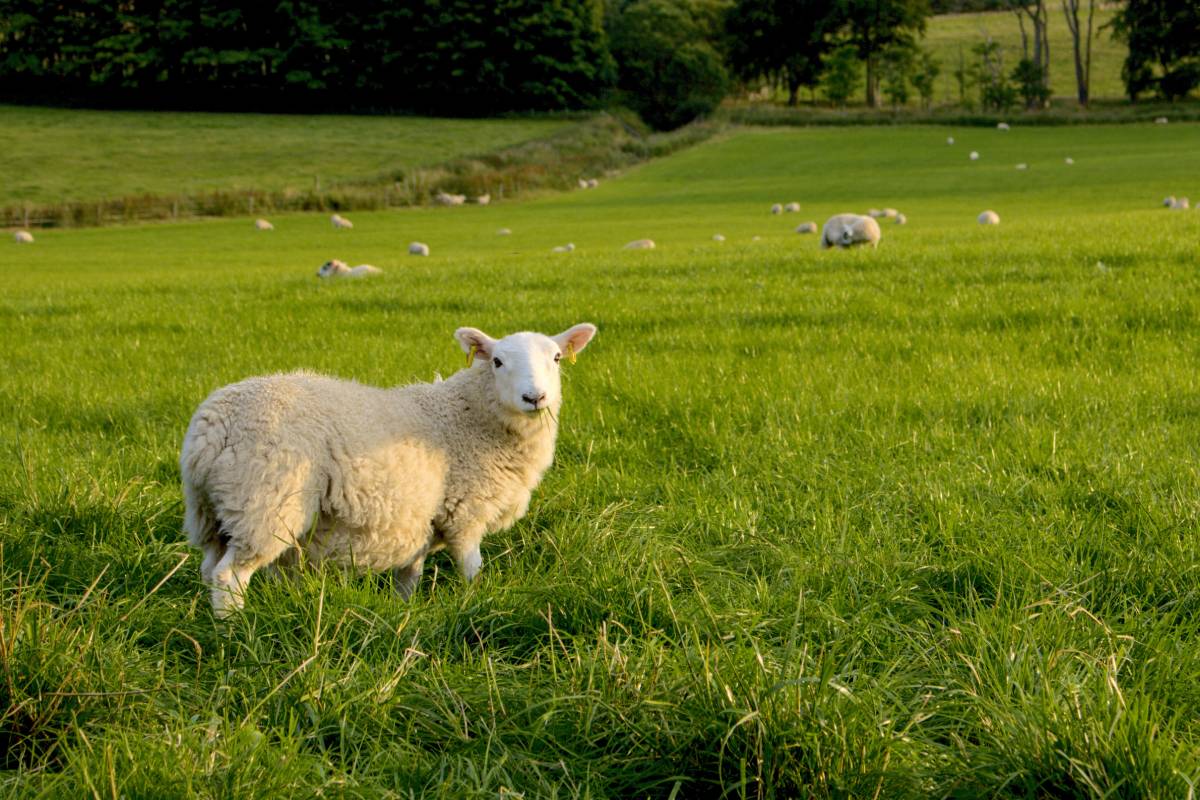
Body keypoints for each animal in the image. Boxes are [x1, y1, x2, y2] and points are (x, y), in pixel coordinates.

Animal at [178, 321, 600, 618]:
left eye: (556, 359)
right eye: (497, 362)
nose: (535, 397)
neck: (468, 416)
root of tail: (210, 429)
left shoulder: (419, 521)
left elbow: (409, 577)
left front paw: (404, 611)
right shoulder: (465, 514)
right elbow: (472, 570)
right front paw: (477, 604)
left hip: (212, 512)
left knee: (209, 568)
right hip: (264, 503)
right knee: (229, 577)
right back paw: (234, 631)